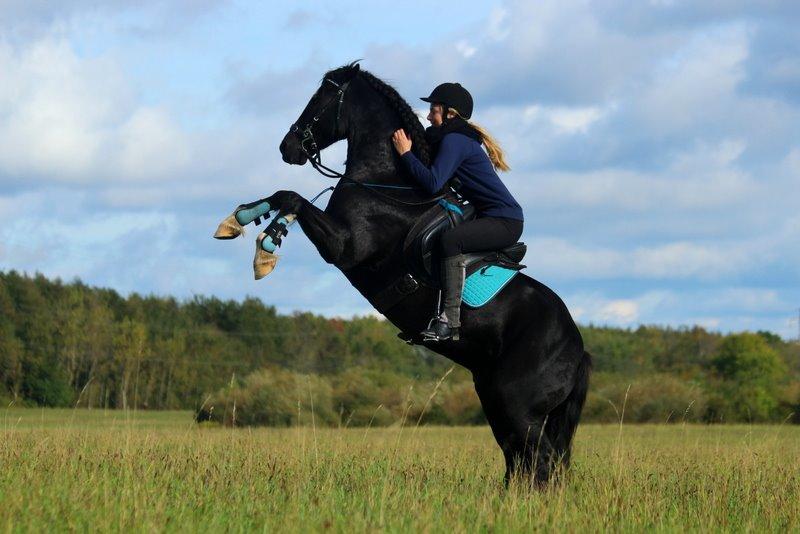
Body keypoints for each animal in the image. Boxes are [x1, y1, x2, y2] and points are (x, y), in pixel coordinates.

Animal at [216, 62, 592, 490]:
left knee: (540, 462)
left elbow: (291, 198)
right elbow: (283, 198)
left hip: (516, 403)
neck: (388, 180)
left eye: (322, 97)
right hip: (497, 399)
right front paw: (237, 221)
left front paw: (265, 249)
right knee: (524, 463)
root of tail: (578, 347)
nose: (287, 146)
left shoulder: (344, 246)